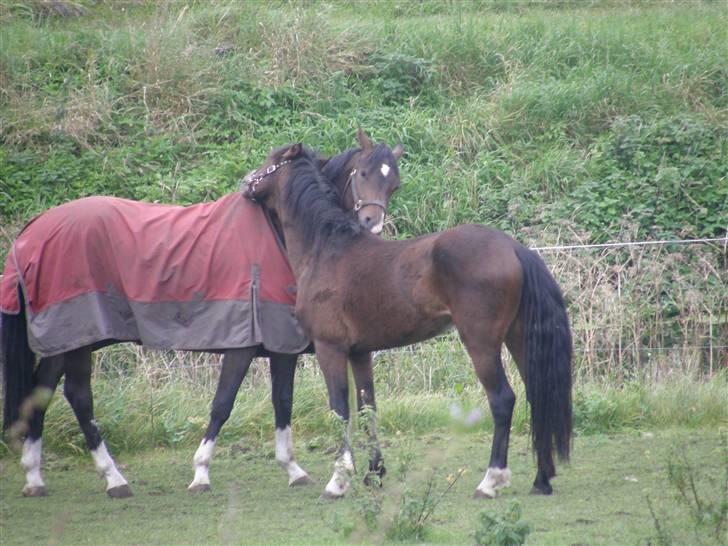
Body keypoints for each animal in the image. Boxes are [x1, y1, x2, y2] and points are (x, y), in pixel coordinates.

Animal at [245, 143, 576, 498]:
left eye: (271, 162)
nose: (247, 182)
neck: (327, 249)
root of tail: (514, 248)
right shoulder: (360, 353)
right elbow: (367, 408)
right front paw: (374, 473)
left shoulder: (329, 348)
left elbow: (340, 410)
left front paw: (339, 480)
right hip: (518, 338)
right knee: (537, 394)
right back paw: (541, 479)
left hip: (481, 343)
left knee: (503, 399)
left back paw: (491, 480)